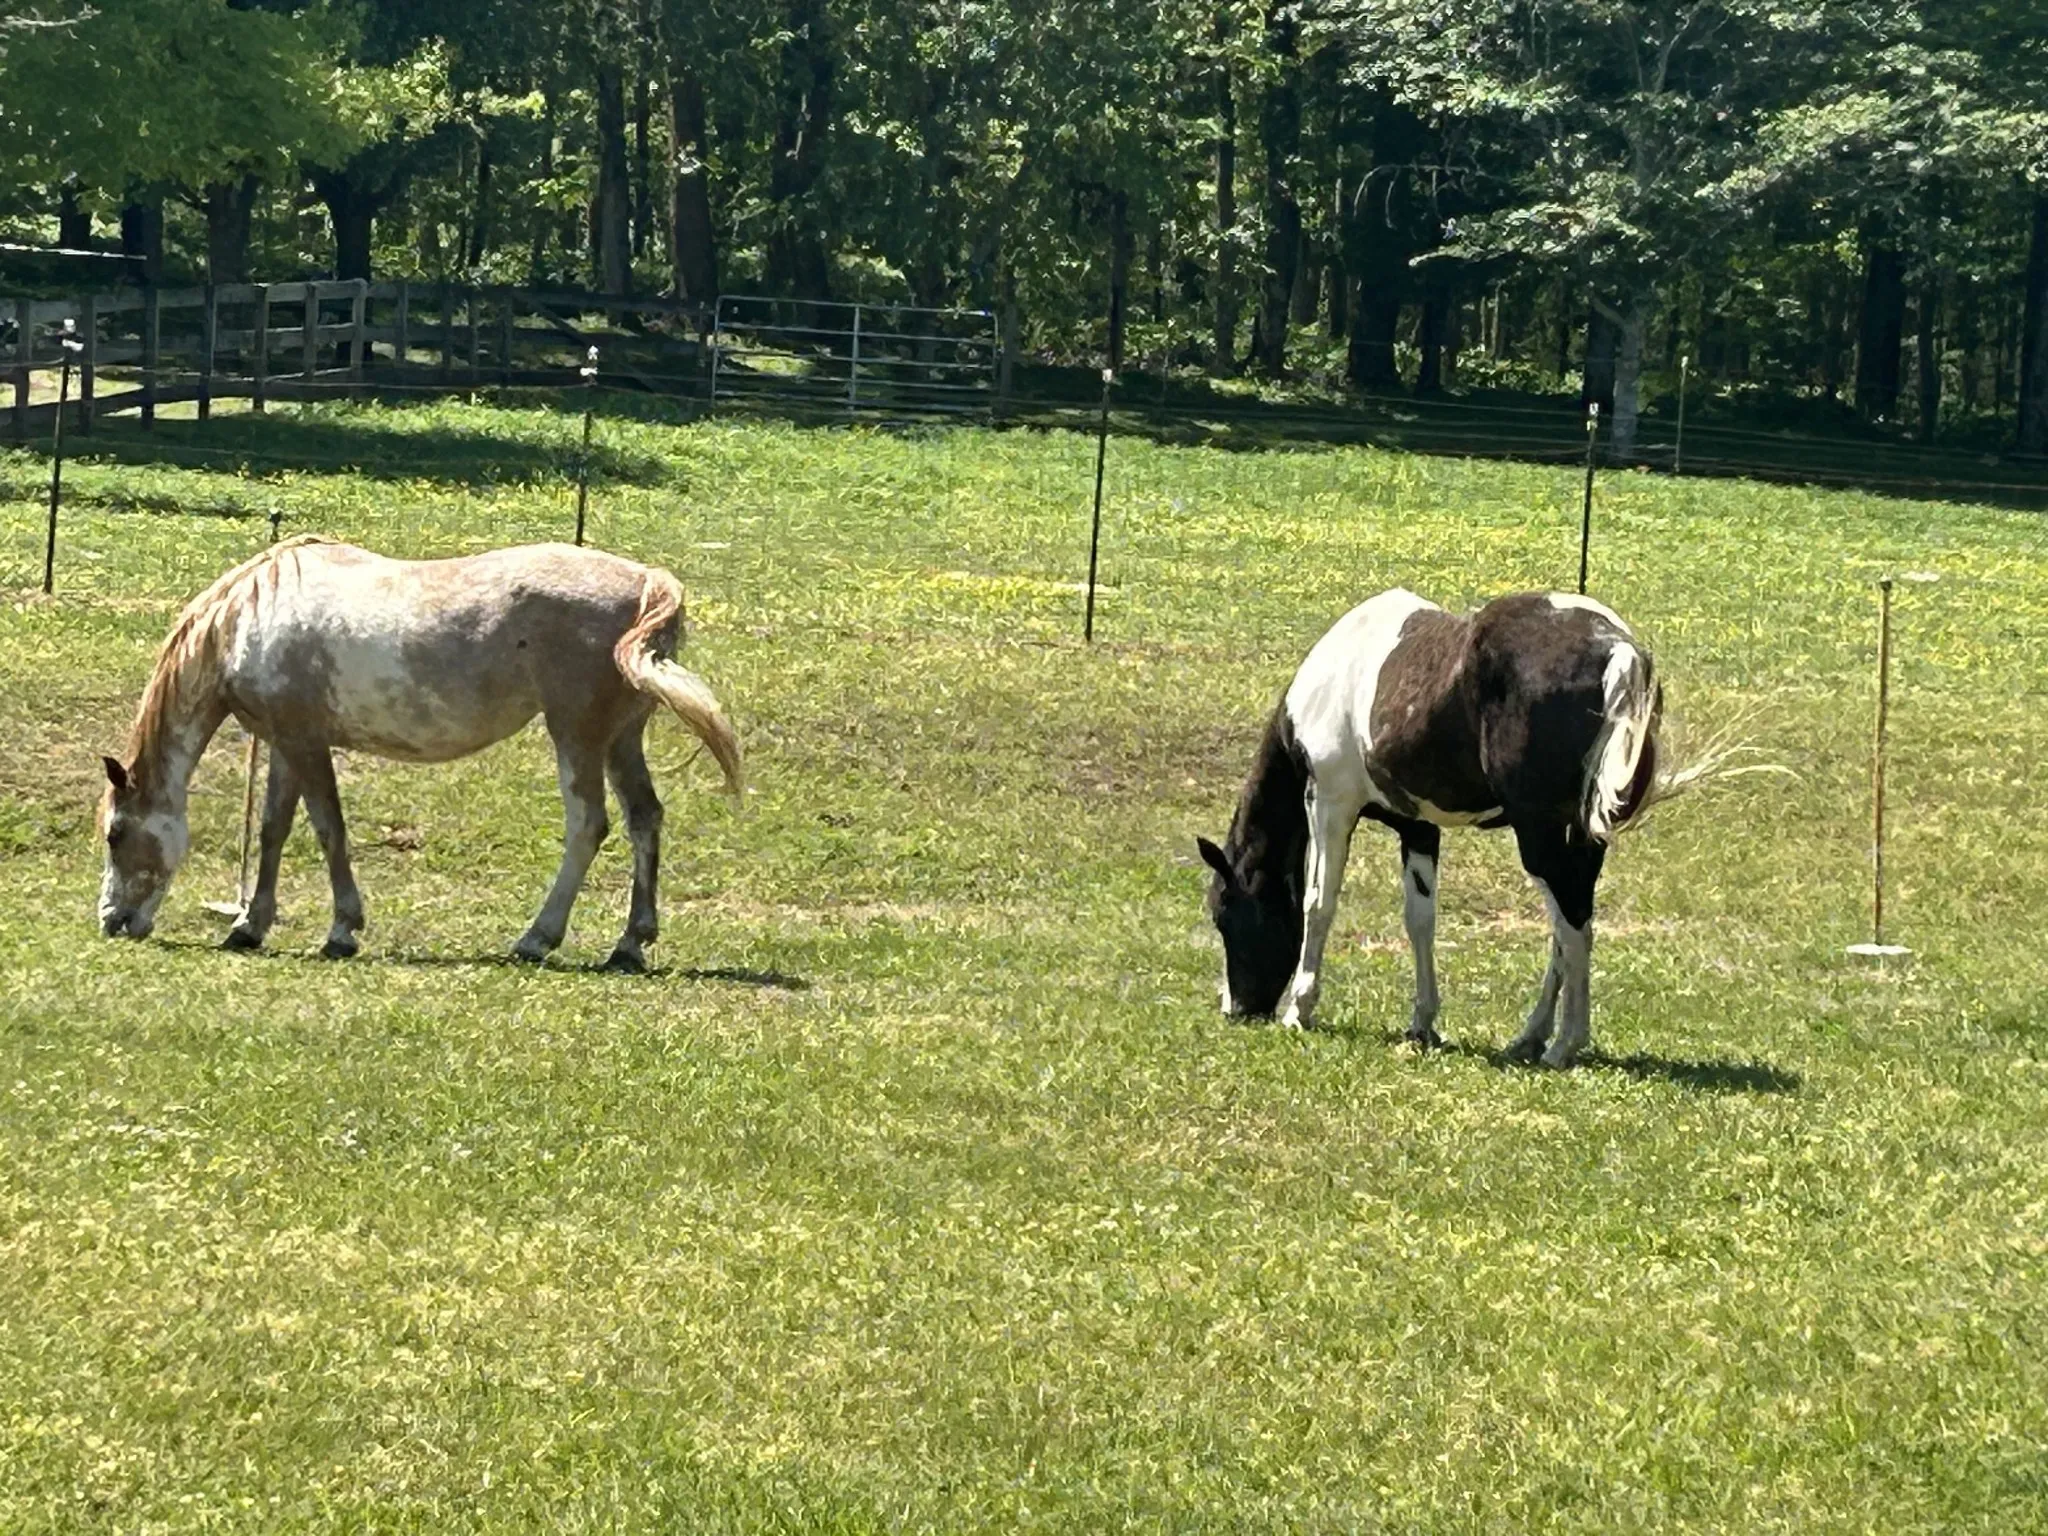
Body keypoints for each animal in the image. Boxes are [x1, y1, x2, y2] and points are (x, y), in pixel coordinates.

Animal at [97, 536, 743, 972]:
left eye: (114, 833)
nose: (110, 922)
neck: (248, 618)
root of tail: (648, 582)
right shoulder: (285, 743)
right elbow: (274, 830)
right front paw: (249, 926)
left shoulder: (307, 744)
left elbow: (329, 829)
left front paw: (342, 930)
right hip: (620, 739)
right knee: (644, 818)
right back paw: (629, 944)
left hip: (576, 736)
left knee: (589, 825)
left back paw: (536, 938)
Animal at [1196, 588, 1679, 1069]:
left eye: (1224, 913)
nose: (1237, 1008)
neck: (1330, 681)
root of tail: (1617, 650)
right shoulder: (1419, 828)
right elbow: (1420, 919)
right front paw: (1422, 1022)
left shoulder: (1330, 805)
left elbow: (1319, 904)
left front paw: (1299, 1009)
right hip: (1576, 841)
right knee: (1568, 927)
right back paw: (1531, 1037)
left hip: (1541, 838)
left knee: (1573, 927)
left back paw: (1564, 1044)